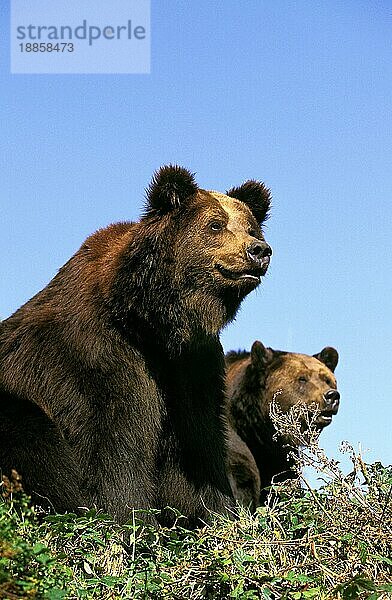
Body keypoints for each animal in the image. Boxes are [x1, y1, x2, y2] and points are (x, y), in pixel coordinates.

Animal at [0, 165, 272, 524]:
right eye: (215, 224)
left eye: (251, 227)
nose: (259, 250)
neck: (151, 322)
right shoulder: (102, 354)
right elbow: (118, 438)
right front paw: (131, 516)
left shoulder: (192, 366)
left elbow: (199, 444)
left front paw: (220, 514)